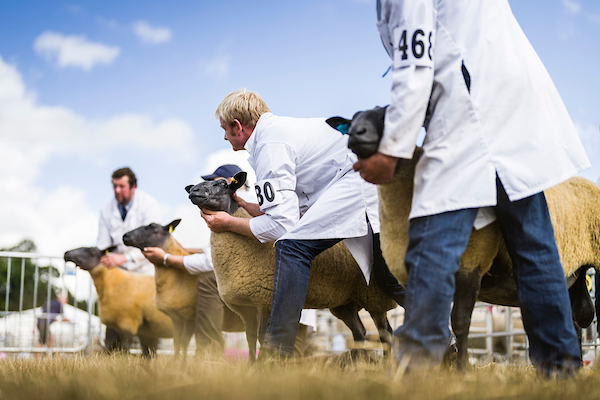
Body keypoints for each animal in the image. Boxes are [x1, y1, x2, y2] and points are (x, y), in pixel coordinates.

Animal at [120, 220, 198, 358]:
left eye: (152, 227)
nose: (125, 236)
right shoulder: (176, 318)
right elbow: (177, 341)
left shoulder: (190, 316)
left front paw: (183, 363)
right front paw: (176, 362)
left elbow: (184, 343)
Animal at [183, 172, 398, 362]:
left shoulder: (265, 302)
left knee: (385, 333)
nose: (193, 190)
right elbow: (250, 339)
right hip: (346, 303)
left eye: (222, 184)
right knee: (359, 332)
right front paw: (250, 367)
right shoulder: (246, 307)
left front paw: (261, 367)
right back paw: (358, 364)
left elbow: (263, 338)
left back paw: (388, 366)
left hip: (373, 295)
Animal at [328, 107, 600, 368]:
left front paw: (461, 369)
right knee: (575, 321)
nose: (356, 135)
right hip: (572, 276)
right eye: (351, 121)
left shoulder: (471, 265)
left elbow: (459, 321)